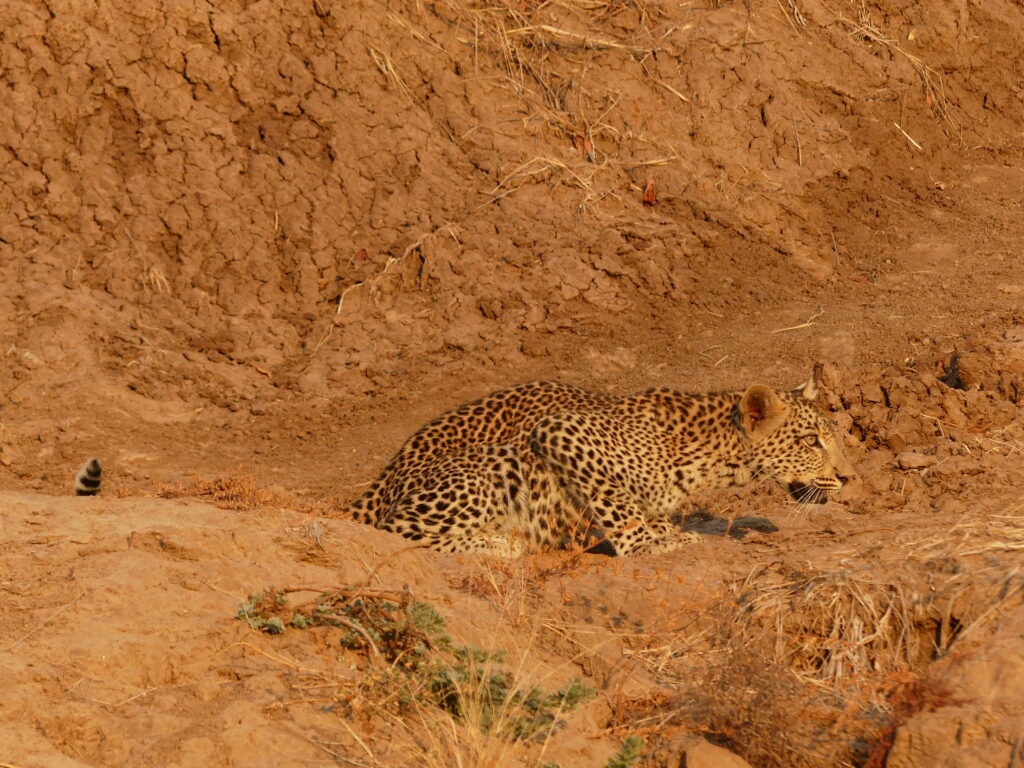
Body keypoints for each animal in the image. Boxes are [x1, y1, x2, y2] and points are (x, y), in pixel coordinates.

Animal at [347, 376, 855, 556]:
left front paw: (664, 530)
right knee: (398, 530)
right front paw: (649, 541)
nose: (848, 477)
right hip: (493, 466)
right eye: (811, 441)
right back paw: (500, 542)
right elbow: (616, 501)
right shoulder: (560, 432)